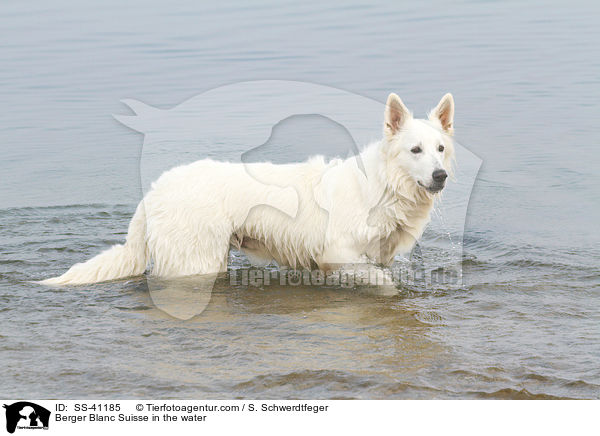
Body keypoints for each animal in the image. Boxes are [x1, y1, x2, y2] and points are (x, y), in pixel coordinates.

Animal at [43, 93, 454, 284]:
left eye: (440, 149)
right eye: (415, 150)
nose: (440, 176)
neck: (384, 186)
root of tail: (153, 192)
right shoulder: (339, 254)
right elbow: (385, 284)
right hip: (198, 262)